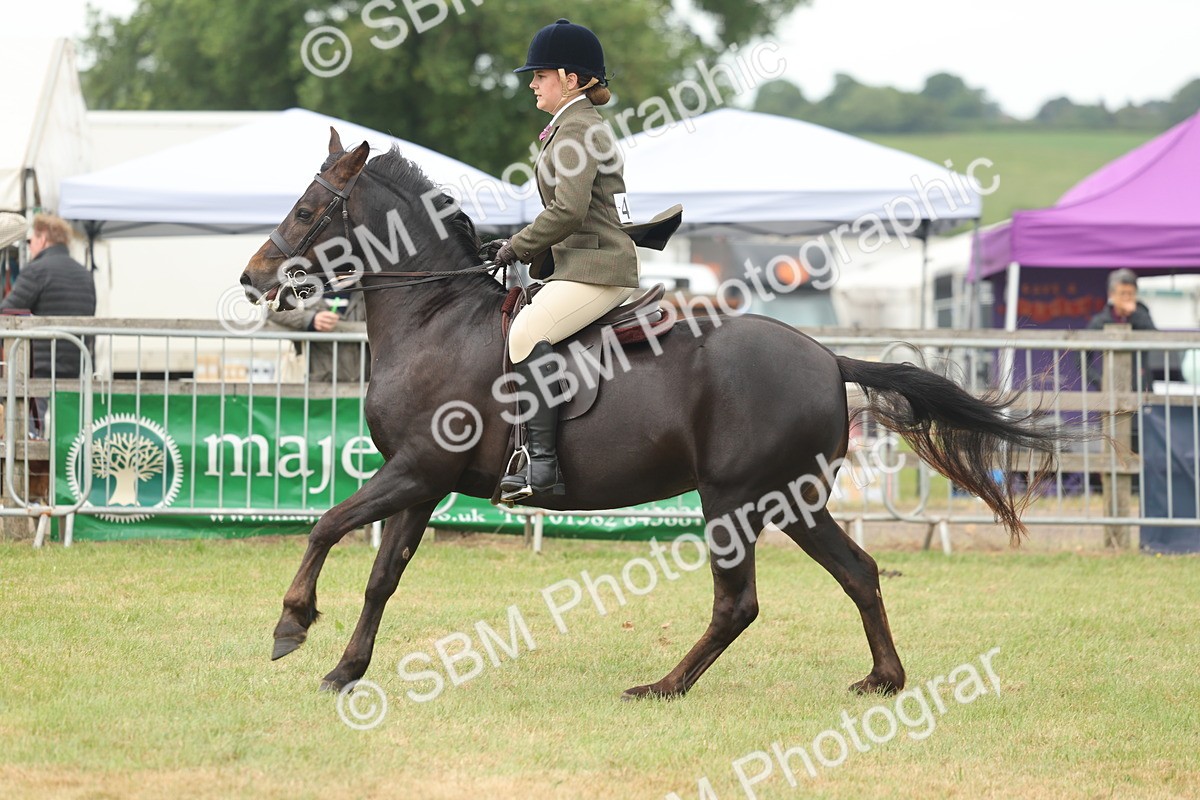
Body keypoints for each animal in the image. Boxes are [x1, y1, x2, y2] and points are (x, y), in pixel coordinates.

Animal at [239, 129, 1061, 698]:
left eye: (307, 209)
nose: (251, 279)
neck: (433, 316)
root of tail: (830, 359)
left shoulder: (415, 469)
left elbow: (325, 526)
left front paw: (291, 624)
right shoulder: (422, 480)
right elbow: (383, 574)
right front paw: (346, 669)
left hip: (734, 498)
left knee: (738, 603)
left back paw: (663, 687)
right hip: (791, 500)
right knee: (858, 573)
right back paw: (882, 679)